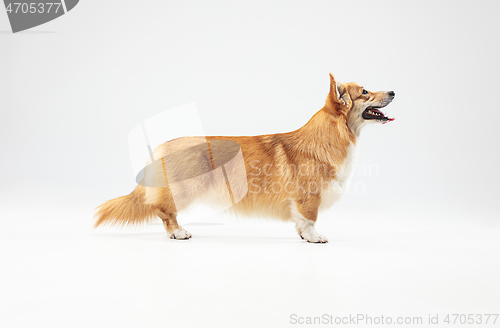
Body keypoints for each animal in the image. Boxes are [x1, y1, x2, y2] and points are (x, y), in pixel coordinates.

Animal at [95, 75, 396, 243]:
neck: (331, 134)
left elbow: (300, 220)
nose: (394, 91)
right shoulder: (308, 196)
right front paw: (313, 237)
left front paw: (302, 235)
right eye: (365, 92)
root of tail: (160, 147)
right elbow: (310, 218)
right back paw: (178, 233)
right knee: (164, 211)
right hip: (184, 190)